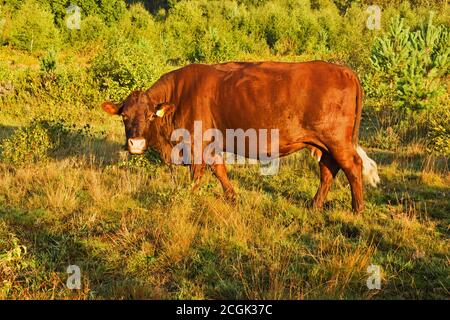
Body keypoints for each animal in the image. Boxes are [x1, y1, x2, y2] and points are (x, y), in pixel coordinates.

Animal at [103, 62, 380, 212]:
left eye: (151, 115)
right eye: (124, 115)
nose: (136, 144)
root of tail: (344, 70)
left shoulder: (196, 143)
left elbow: (197, 174)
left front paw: (189, 197)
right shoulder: (211, 145)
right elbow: (219, 169)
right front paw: (232, 197)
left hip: (337, 140)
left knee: (352, 166)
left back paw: (357, 208)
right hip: (324, 143)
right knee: (328, 169)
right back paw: (315, 204)